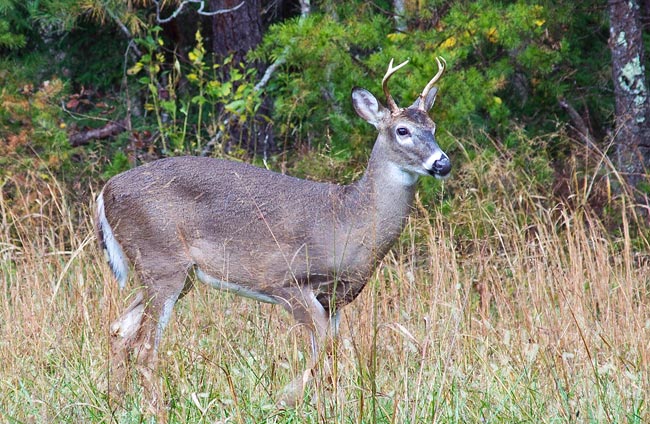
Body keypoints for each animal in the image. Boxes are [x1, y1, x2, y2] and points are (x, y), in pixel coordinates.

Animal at [96, 56, 448, 410]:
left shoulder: (334, 300)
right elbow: (321, 351)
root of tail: (106, 190)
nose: (442, 163)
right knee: (144, 347)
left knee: (118, 329)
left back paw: (115, 401)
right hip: (161, 261)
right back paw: (154, 407)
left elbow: (331, 351)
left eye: (433, 128)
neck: (348, 219)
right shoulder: (286, 282)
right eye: (402, 130)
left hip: (177, 274)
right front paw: (285, 399)